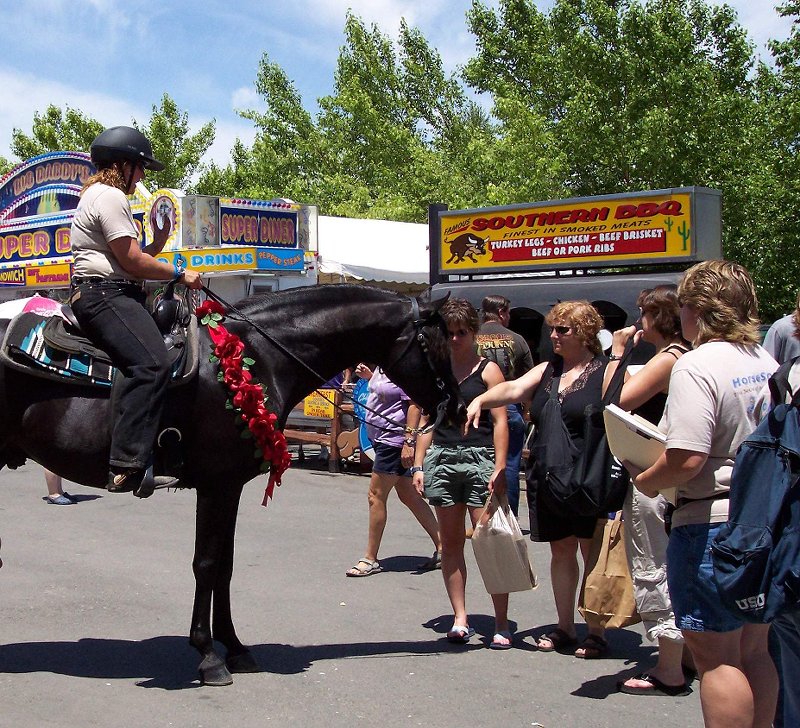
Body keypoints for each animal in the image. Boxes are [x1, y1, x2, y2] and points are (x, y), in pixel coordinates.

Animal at [0, 284, 463, 686]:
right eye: (436, 345)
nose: (457, 409)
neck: (256, 355)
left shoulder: (231, 486)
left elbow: (225, 566)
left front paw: (236, 648)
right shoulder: (217, 484)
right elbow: (206, 564)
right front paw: (208, 656)